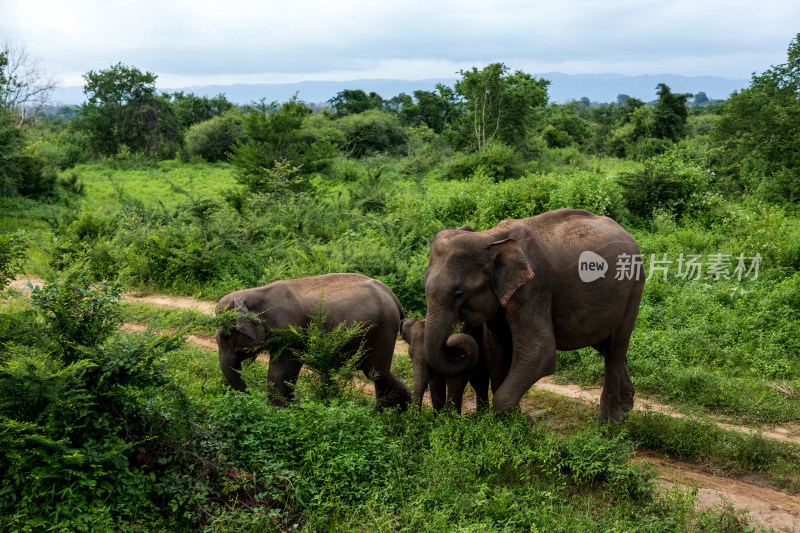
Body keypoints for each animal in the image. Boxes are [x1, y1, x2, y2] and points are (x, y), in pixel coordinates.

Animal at [214, 272, 412, 410]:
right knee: (377, 374)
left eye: (225, 337)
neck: (256, 293)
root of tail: (393, 296)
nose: (249, 397)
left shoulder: (290, 330)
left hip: (385, 327)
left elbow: (279, 373)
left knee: (375, 372)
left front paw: (277, 412)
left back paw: (403, 410)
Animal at [424, 208, 644, 420]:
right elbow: (496, 351)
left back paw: (610, 421)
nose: (453, 339)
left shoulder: (533, 289)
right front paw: (511, 420)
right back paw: (626, 406)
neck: (490, 237)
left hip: (633, 289)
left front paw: (521, 421)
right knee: (605, 345)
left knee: (615, 348)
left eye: (458, 294)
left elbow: (541, 352)